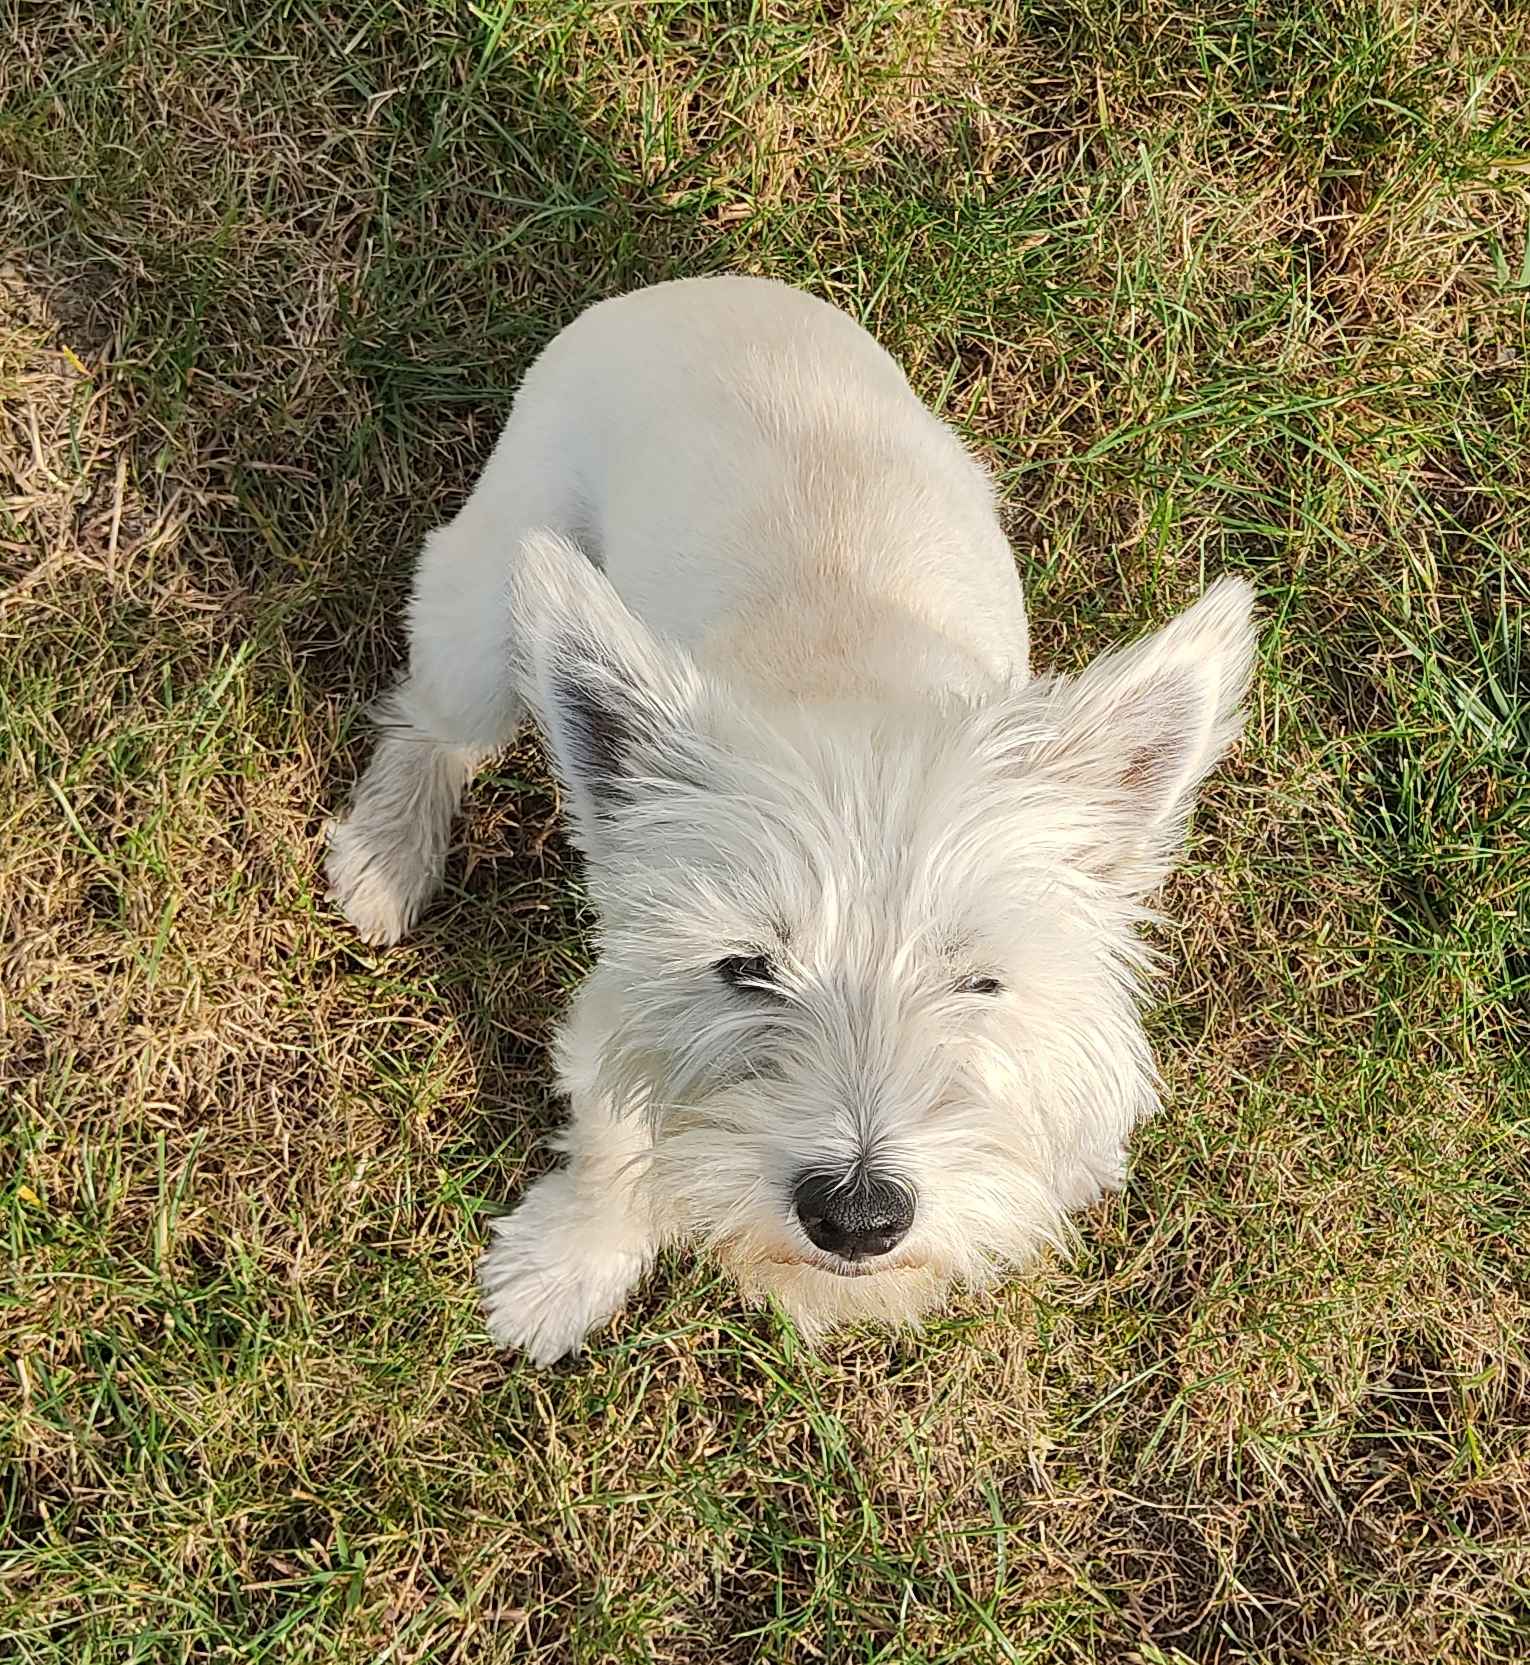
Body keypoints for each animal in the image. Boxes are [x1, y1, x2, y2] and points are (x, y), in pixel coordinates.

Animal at [326, 276, 1258, 1365]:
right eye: (744, 967)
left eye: (980, 982)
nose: (856, 1217)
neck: (854, 682)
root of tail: (710, 287)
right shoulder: (616, 1020)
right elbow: (614, 1145)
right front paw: (565, 1268)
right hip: (483, 612)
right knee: (432, 722)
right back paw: (387, 855)